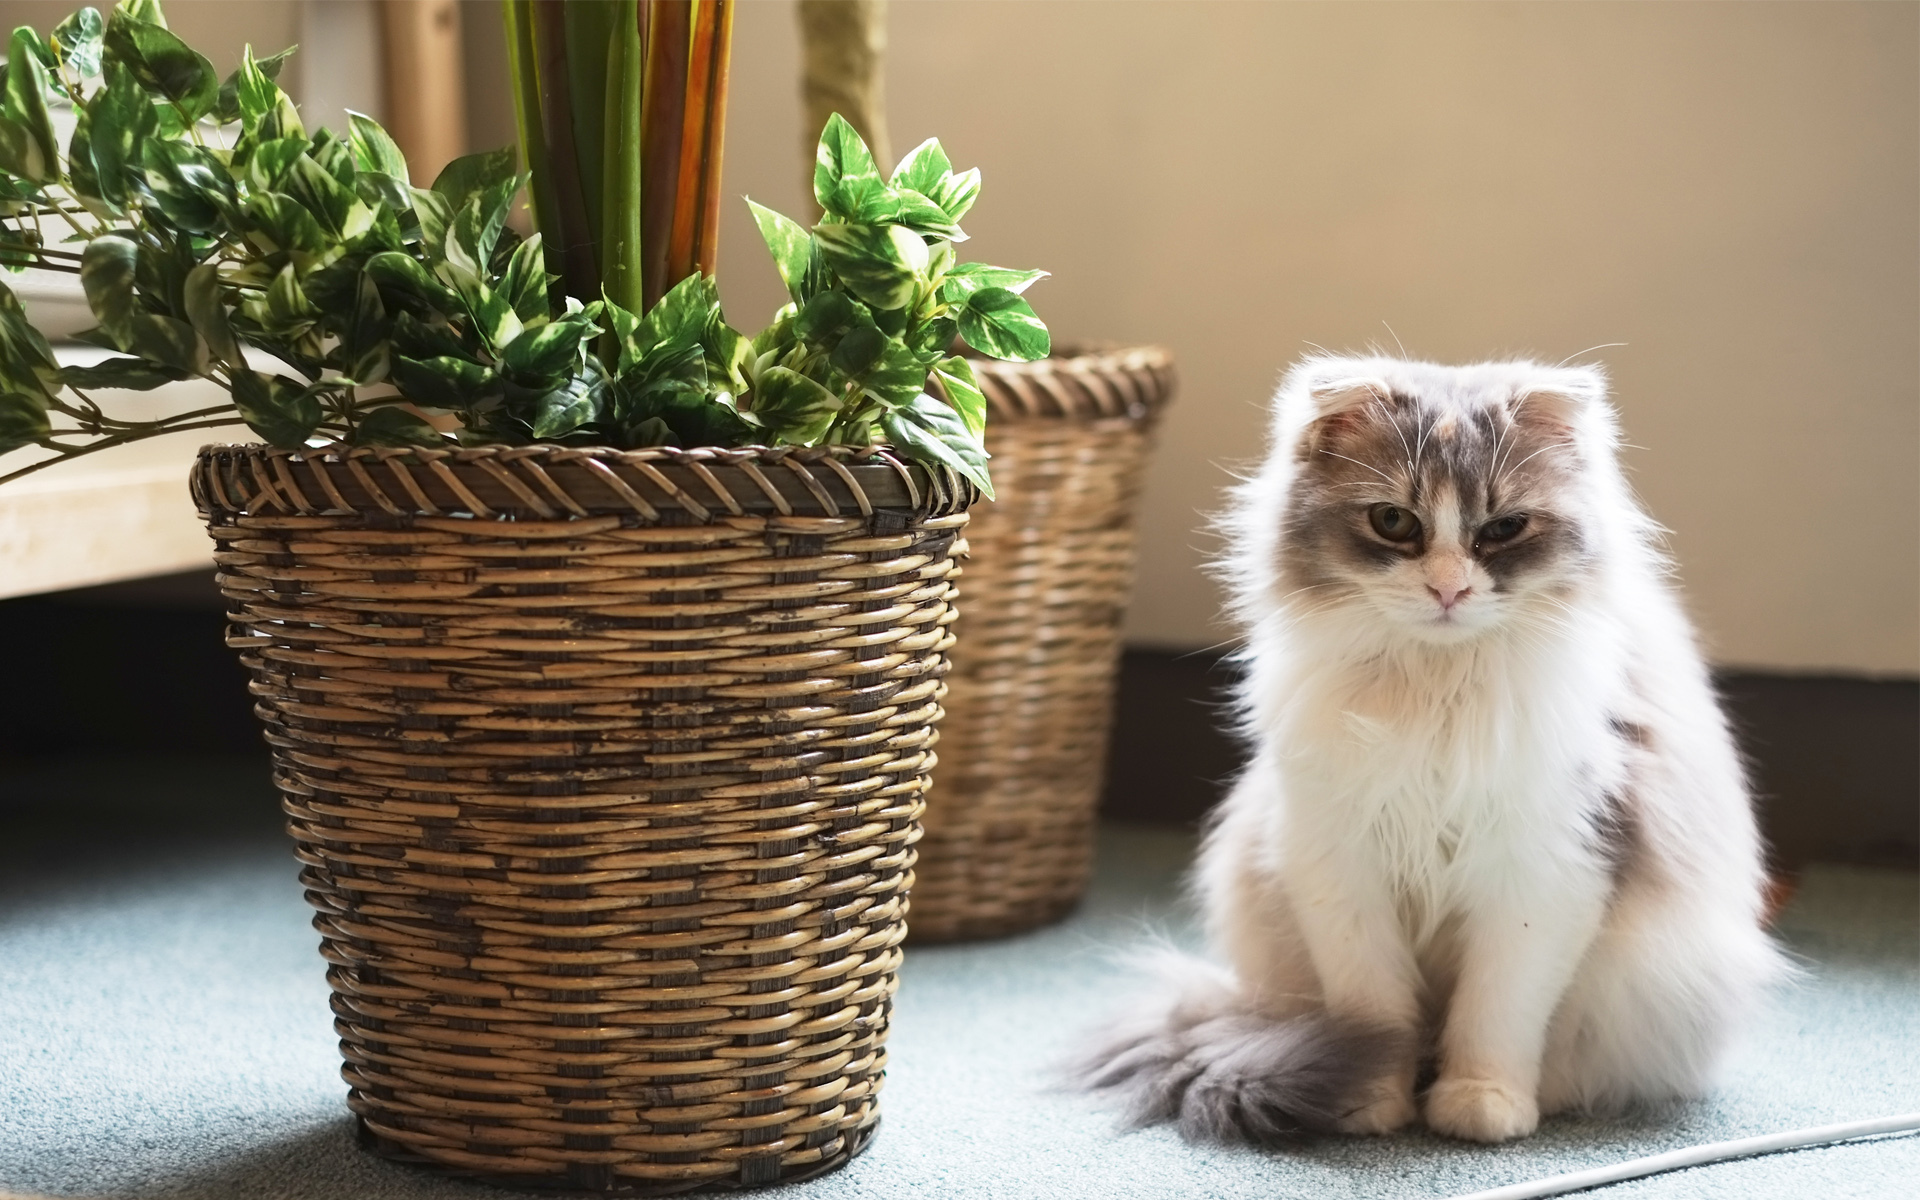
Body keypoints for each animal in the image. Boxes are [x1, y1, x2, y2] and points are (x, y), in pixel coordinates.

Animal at [1082, 353, 1781, 1144]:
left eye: (1504, 528)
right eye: (1394, 522)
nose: (1449, 590)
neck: (1435, 692)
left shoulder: (1543, 873)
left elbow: (1498, 1012)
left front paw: (1482, 1105)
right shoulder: (1338, 865)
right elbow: (1377, 1014)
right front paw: (1372, 1100)